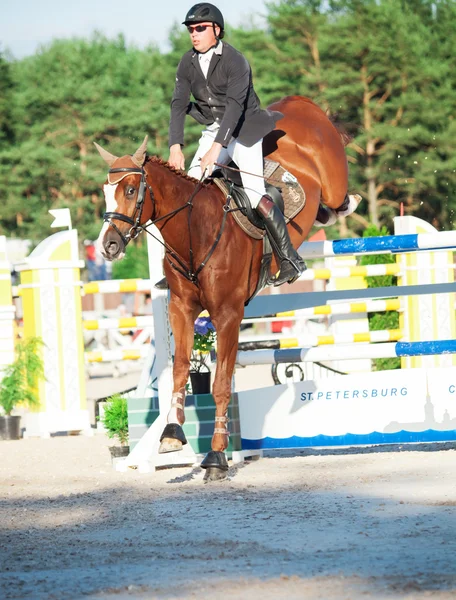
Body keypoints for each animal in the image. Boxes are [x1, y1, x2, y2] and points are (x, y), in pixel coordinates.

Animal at [94, 97, 350, 482]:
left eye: (130, 190)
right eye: (105, 192)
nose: (108, 246)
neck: (195, 230)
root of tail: (298, 103)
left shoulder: (228, 315)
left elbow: (220, 385)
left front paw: (215, 457)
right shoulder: (181, 310)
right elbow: (180, 370)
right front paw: (171, 435)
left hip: (333, 179)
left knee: (336, 199)